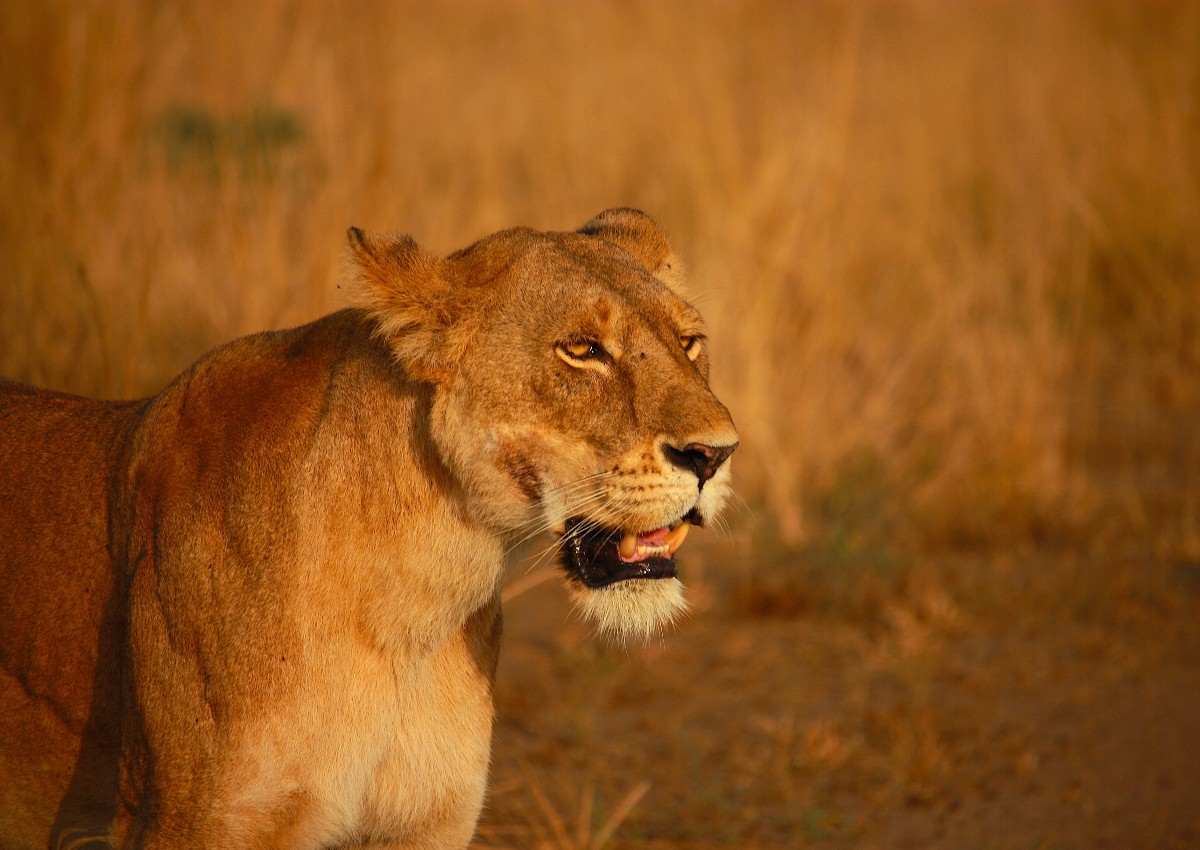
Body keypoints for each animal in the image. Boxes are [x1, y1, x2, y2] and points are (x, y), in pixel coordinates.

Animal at [0, 209, 738, 849]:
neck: (417, 602)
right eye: (582, 350)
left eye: (689, 342)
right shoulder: (193, 821)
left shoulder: (423, 824)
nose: (715, 454)